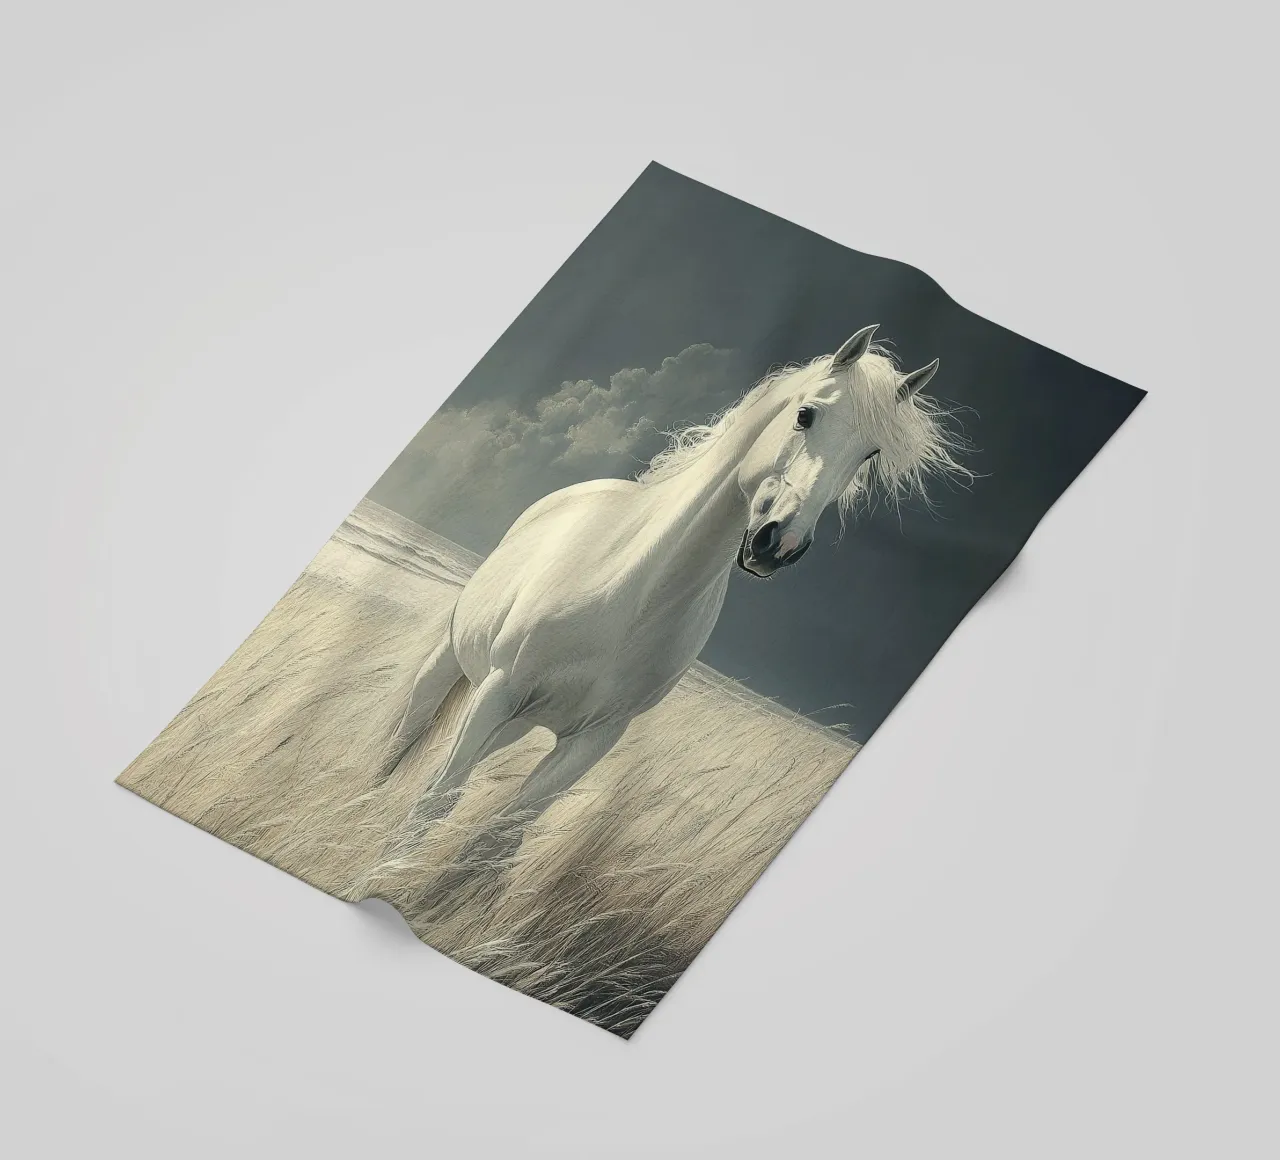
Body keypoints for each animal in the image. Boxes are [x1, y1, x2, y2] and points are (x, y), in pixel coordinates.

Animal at [378, 324, 967, 853]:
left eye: (869, 454)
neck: (634, 598)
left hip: (517, 724)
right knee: (405, 736)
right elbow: (431, 806)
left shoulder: (591, 740)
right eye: (806, 414)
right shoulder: (499, 692)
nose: (779, 544)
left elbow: (495, 845)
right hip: (454, 669)